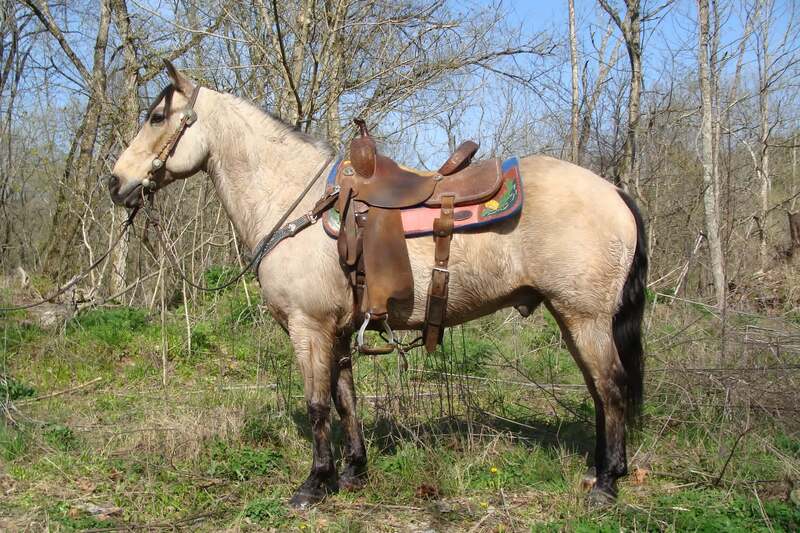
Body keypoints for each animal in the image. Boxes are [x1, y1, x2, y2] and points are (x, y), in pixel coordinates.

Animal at [108, 61, 647, 509]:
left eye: (157, 117)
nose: (115, 183)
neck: (294, 200)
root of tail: (614, 191)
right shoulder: (337, 330)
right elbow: (344, 399)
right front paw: (352, 472)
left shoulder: (308, 328)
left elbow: (317, 404)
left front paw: (313, 484)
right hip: (573, 317)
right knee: (598, 389)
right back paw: (601, 469)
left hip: (584, 316)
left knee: (611, 387)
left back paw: (605, 486)